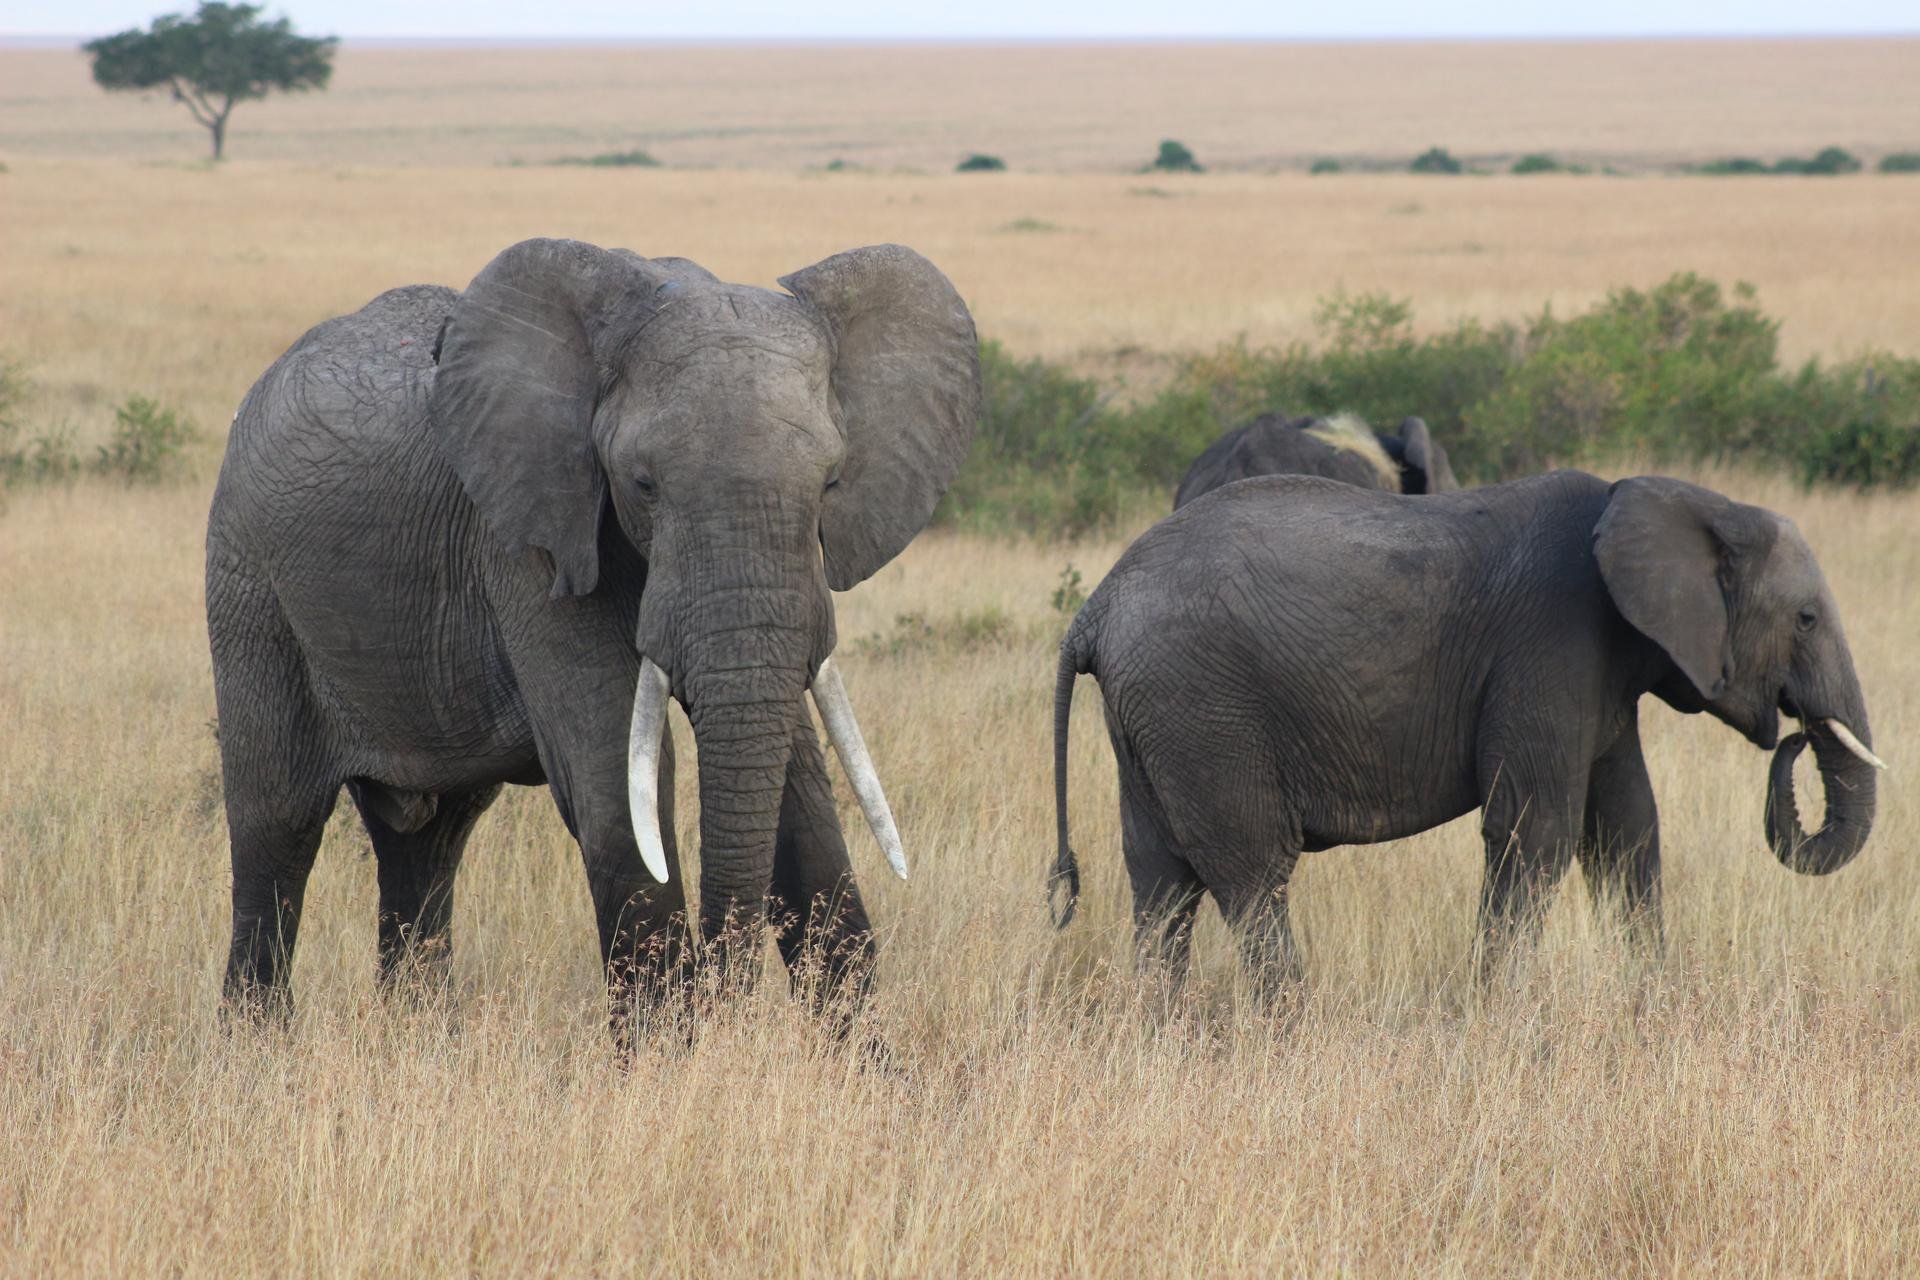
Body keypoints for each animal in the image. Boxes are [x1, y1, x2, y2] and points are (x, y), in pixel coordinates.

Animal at [208, 237, 983, 1020]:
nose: (722, 987)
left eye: (829, 484)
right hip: (248, 583)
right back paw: (259, 1040)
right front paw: (670, 1050)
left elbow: (805, 808)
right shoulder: (532, 541)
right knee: (277, 826)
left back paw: (416, 1032)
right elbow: (617, 792)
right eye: (643, 484)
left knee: (427, 840)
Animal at [1052, 466, 1873, 997]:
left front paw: (1654, 1000)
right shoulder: (1551, 643)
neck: (1691, 501)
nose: (1795, 732)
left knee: (1160, 880)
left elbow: (1626, 828)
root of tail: (1095, 608)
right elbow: (1534, 829)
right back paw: (1293, 1032)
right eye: (1805, 619)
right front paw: (1499, 1018)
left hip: (1154, 718)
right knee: (1252, 873)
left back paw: (1163, 1036)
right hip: (1201, 707)